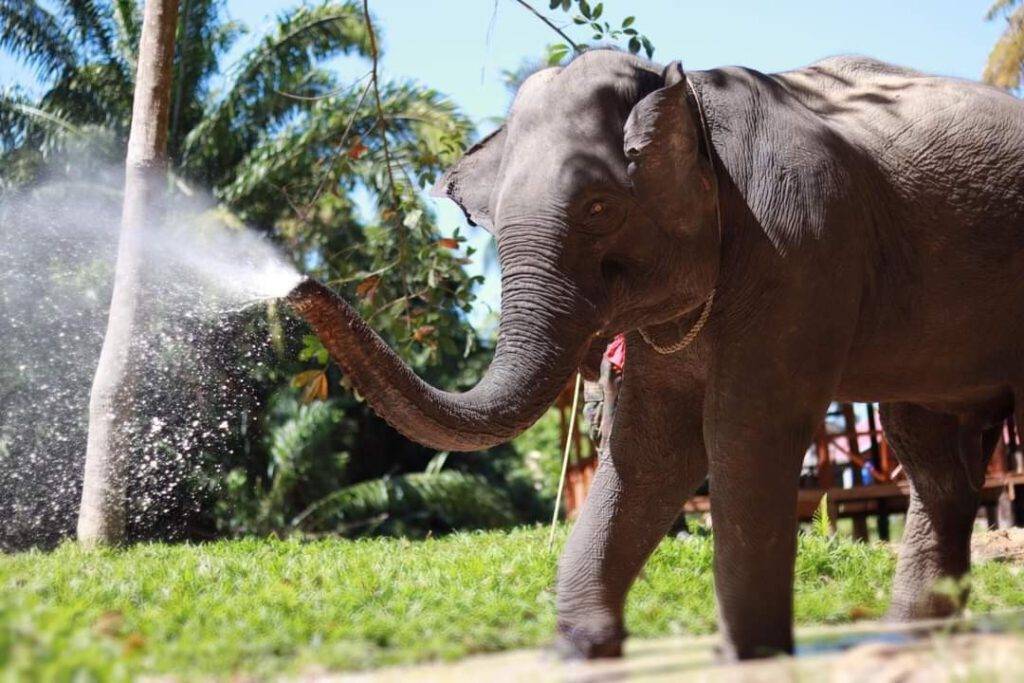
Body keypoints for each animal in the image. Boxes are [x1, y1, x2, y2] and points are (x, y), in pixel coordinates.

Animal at [286, 50, 1024, 660]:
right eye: (489, 224)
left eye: (598, 207)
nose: (296, 286)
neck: (686, 91)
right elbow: (649, 447)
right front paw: (582, 651)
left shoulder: (801, 247)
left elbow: (744, 430)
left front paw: (747, 656)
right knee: (933, 454)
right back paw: (915, 637)